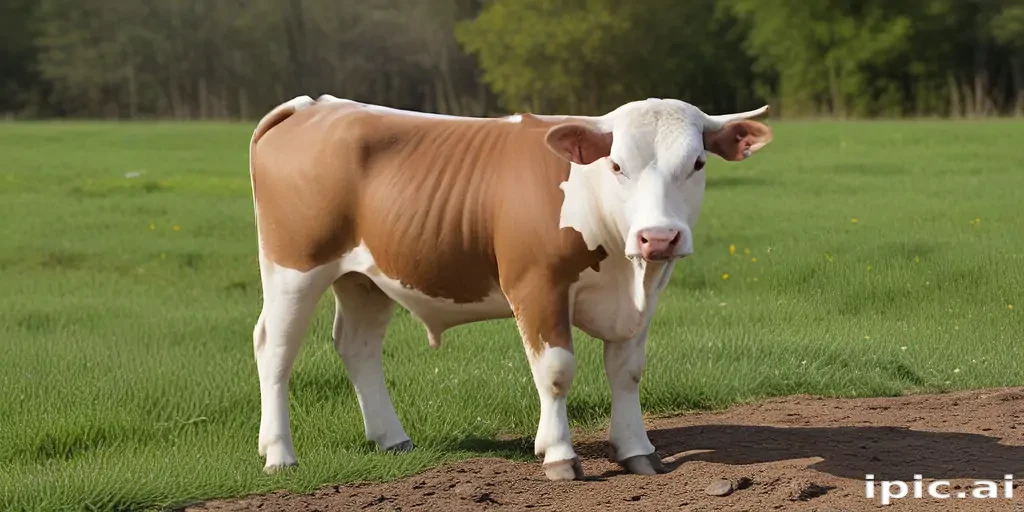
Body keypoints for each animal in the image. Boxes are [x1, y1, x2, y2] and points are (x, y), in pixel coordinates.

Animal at [248, 94, 772, 480]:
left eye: (698, 162)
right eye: (617, 165)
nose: (658, 237)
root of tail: (316, 105)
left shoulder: (643, 297)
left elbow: (628, 372)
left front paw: (636, 449)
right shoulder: (536, 287)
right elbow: (556, 371)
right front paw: (560, 455)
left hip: (366, 278)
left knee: (357, 346)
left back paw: (391, 439)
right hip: (294, 267)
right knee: (275, 349)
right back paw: (279, 454)